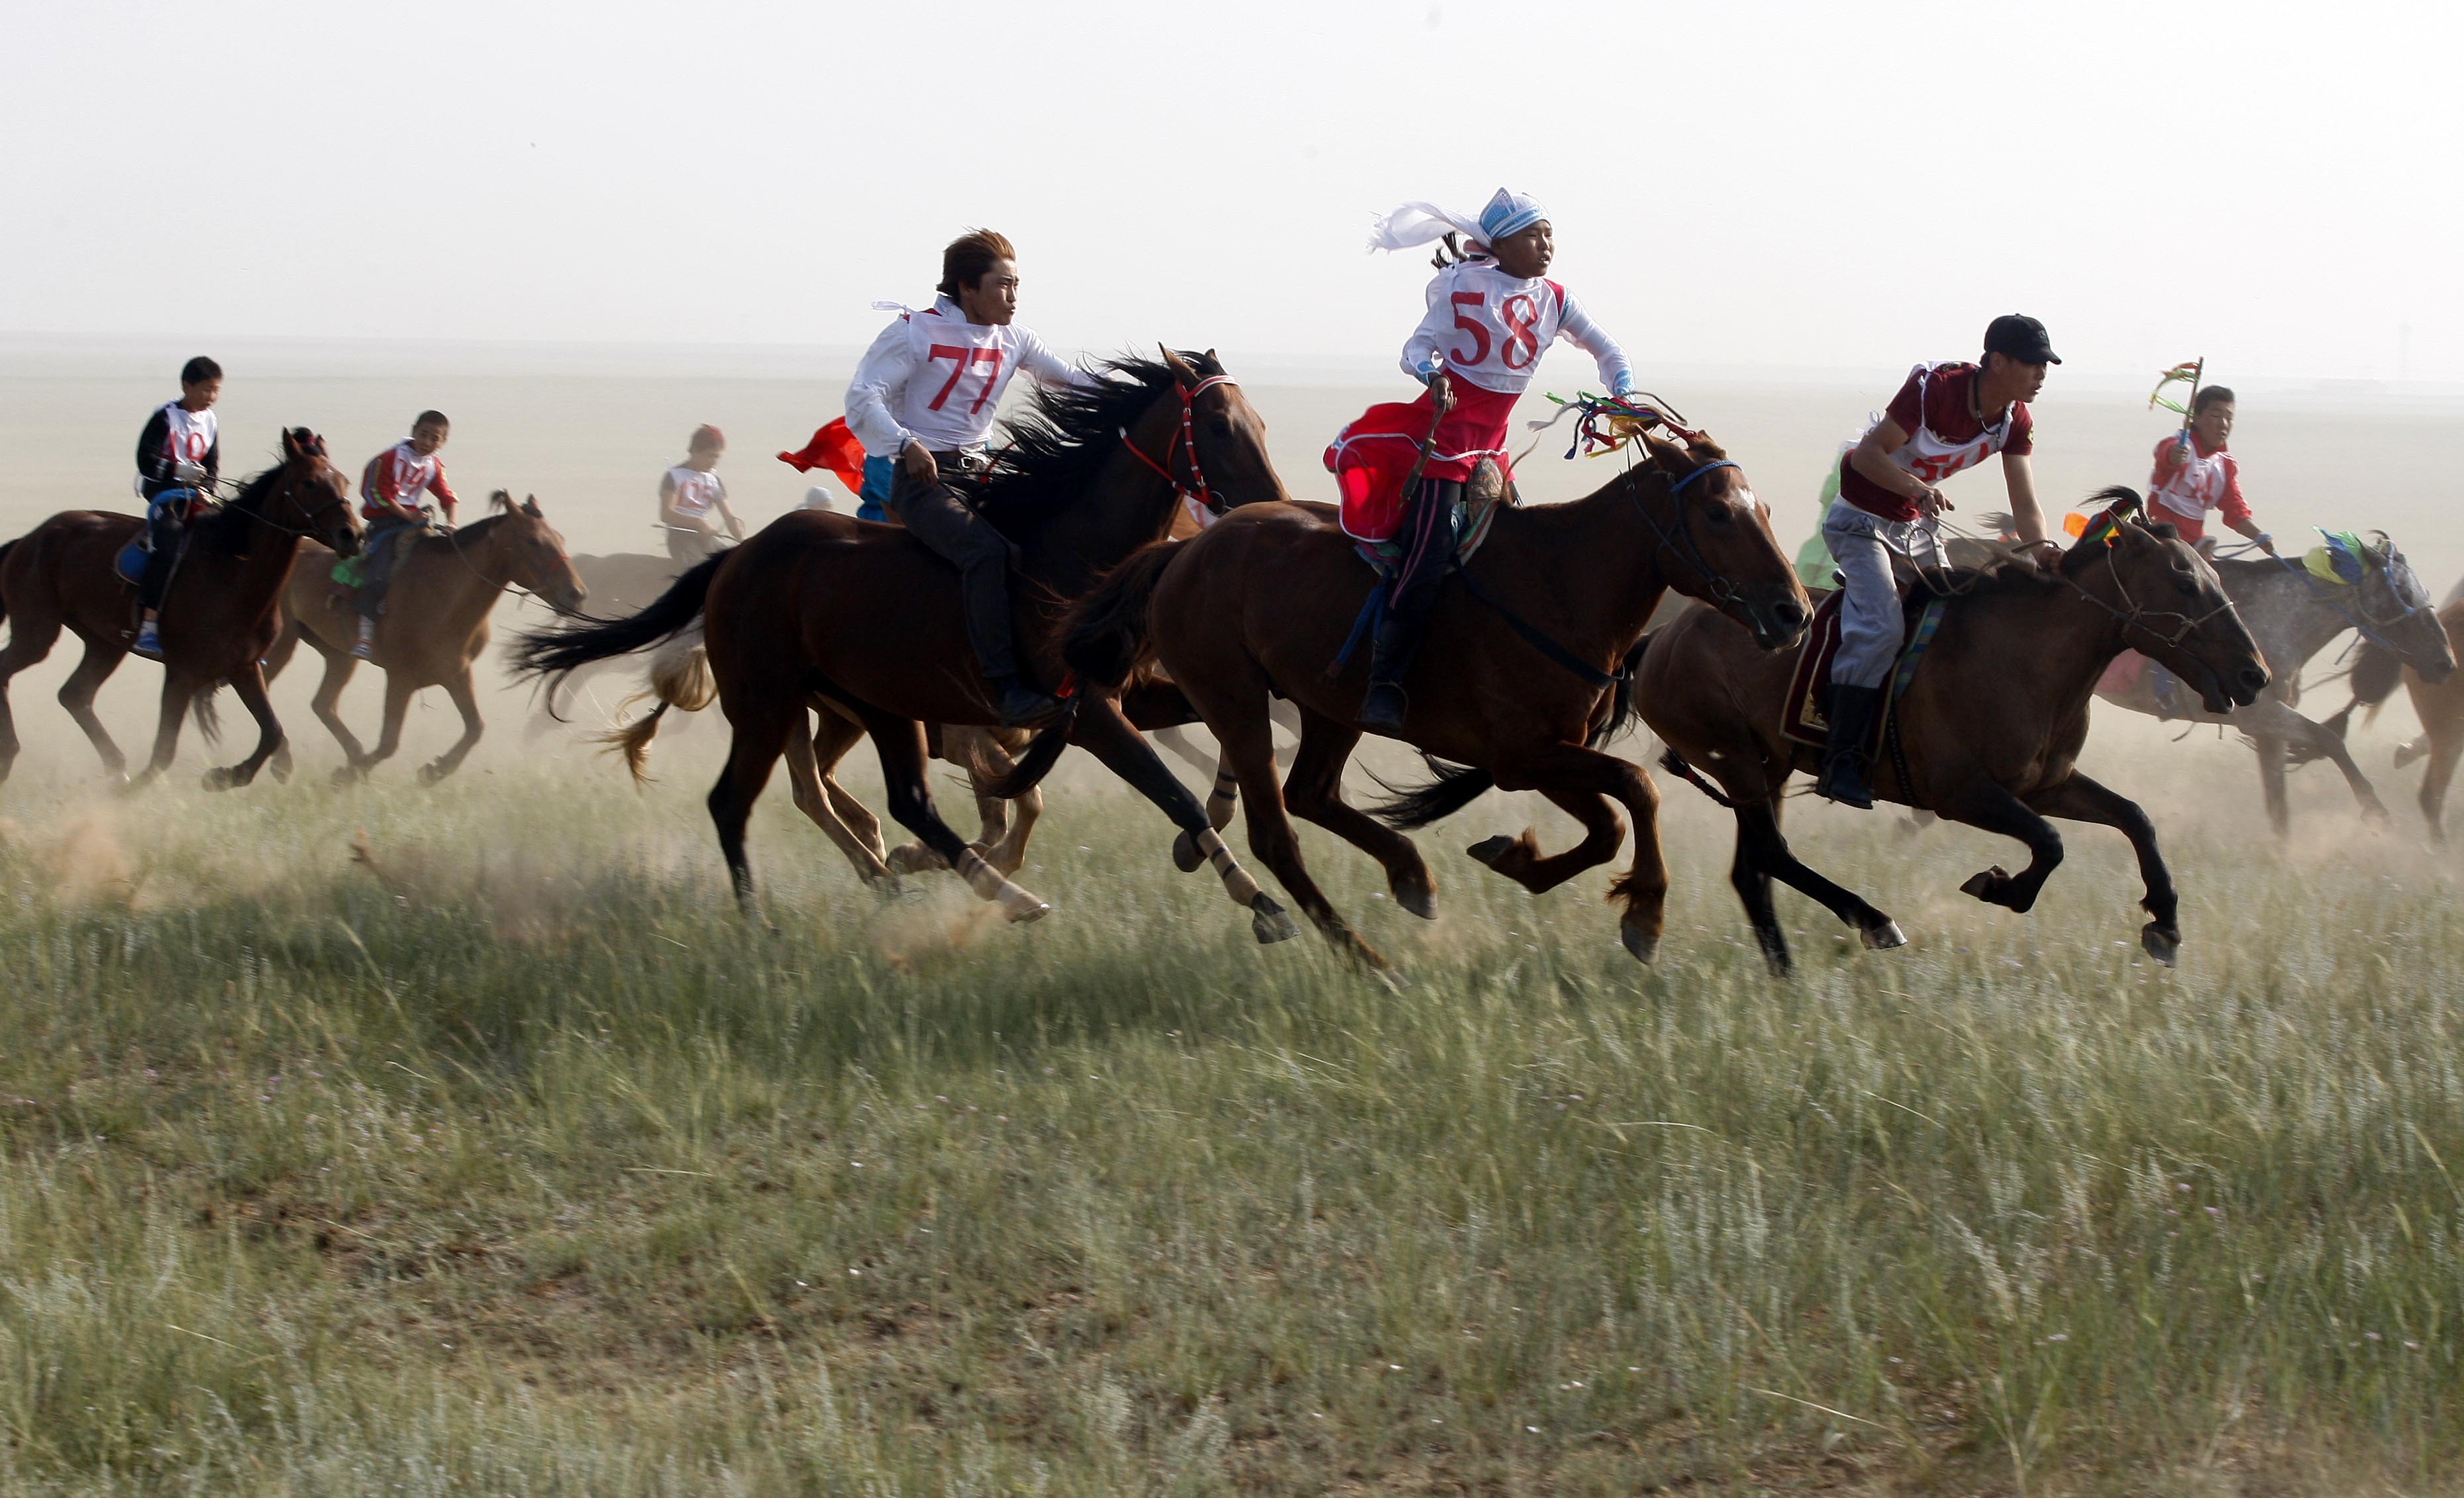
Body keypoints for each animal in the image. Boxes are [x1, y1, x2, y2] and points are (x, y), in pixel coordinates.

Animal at [0, 426, 360, 788]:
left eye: (343, 481)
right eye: (309, 482)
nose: (352, 535)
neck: (231, 572)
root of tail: (29, 539)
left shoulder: (244, 667)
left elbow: (272, 731)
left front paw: (225, 777)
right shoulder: (182, 673)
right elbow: (164, 751)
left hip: (104, 642)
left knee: (75, 695)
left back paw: (118, 769)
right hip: (37, 634)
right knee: (16, 673)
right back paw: (12, 754)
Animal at [264, 495, 586, 798]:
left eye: (559, 537)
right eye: (533, 540)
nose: (577, 593)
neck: (442, 595)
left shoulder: (456, 673)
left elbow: (475, 728)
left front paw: (433, 771)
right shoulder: (401, 677)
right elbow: (389, 743)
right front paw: (347, 775)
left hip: (339, 654)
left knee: (323, 703)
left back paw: (347, 753)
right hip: (282, 644)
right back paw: (282, 762)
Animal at [510, 350, 1301, 936]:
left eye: (1261, 420)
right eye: (1220, 425)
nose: (1271, 503)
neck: (1063, 557)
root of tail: (735, 560)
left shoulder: (1115, 701)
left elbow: (1201, 756)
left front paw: (1230, 847)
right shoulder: (1078, 716)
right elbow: (1165, 793)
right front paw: (1262, 900)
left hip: (862, 707)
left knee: (884, 798)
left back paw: (927, 878)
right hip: (767, 704)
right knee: (741, 802)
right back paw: (773, 919)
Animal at [1054, 433, 1813, 970]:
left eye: (1767, 510)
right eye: (1717, 512)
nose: (1794, 612)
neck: (1562, 584)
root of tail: (1182, 555)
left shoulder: (1543, 756)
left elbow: (1608, 826)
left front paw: (1515, 858)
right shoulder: (1523, 755)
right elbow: (1638, 791)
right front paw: (1646, 918)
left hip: (1331, 707)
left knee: (1312, 794)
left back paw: (1409, 873)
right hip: (1234, 698)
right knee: (1277, 832)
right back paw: (1368, 961)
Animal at [1645, 485, 2257, 966]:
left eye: (2213, 576)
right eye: (2184, 582)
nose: (2256, 673)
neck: (2024, 659)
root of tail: (1661, 639)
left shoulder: (2047, 784)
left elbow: (2134, 818)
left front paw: (2166, 922)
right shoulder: (1959, 793)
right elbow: (2051, 842)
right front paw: (2000, 886)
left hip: (1769, 764)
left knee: (1752, 872)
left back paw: (1786, 972)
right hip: (1736, 761)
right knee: (1772, 856)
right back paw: (1873, 921)